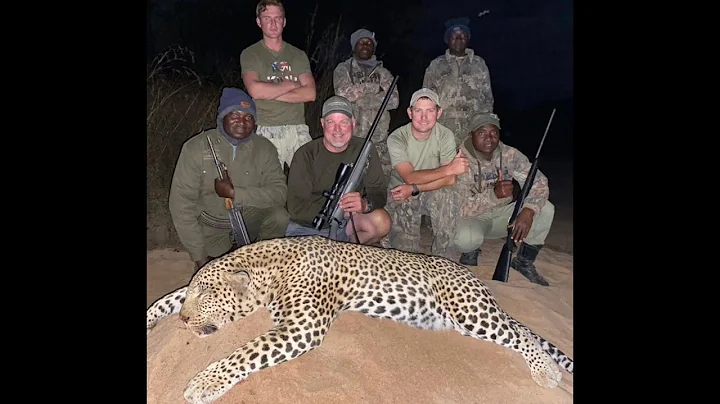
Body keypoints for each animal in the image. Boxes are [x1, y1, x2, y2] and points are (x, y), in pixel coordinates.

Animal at [147, 235, 573, 404]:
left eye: (207, 294)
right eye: (194, 292)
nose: (183, 321)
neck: (271, 268)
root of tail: (472, 277)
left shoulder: (303, 328)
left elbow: (246, 351)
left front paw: (204, 383)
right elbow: (166, 298)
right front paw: (155, 315)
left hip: (471, 312)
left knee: (520, 334)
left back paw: (547, 371)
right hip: (463, 320)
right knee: (517, 330)